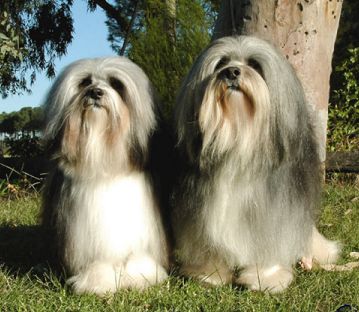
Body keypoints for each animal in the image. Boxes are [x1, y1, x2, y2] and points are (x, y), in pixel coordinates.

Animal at [41, 56, 171, 294]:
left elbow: (138, 256)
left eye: (116, 84)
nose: (95, 92)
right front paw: (97, 282)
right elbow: (99, 261)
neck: (106, 161)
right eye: (84, 82)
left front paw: (141, 277)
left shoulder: (142, 227)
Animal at [173, 36, 342, 292]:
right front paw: (209, 275)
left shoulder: (276, 210)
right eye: (221, 63)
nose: (231, 72)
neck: (238, 140)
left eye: (255, 65)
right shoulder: (202, 212)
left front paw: (265, 278)